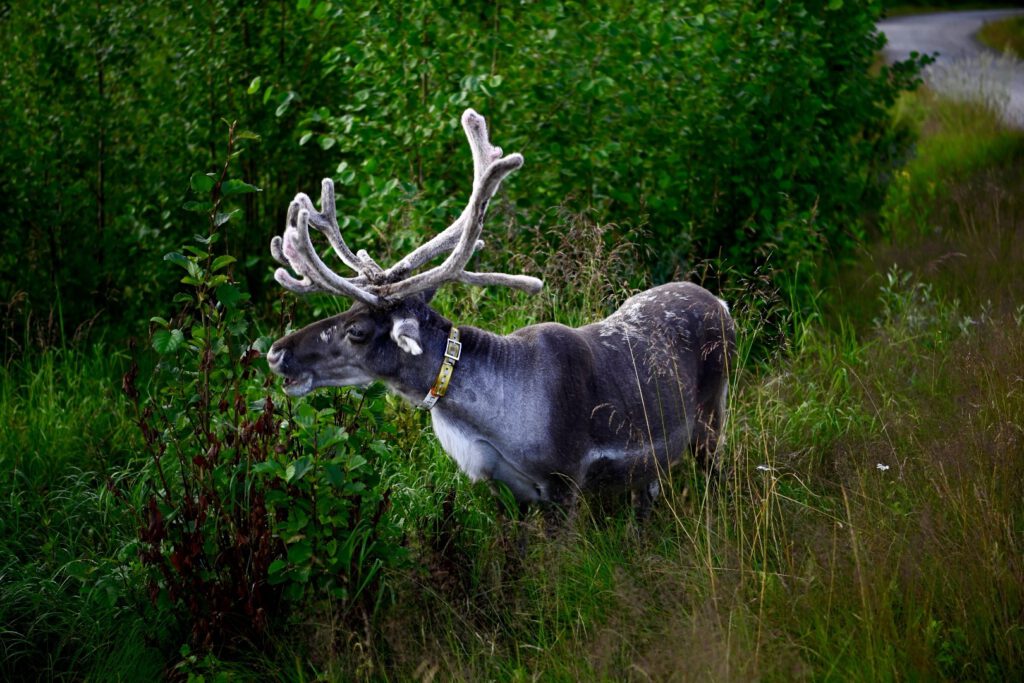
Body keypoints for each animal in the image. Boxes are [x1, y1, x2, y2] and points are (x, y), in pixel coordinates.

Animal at [266, 109, 735, 519]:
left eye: (358, 330)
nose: (275, 352)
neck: (490, 422)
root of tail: (721, 304)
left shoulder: (566, 480)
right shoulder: (509, 491)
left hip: (712, 419)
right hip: (651, 463)